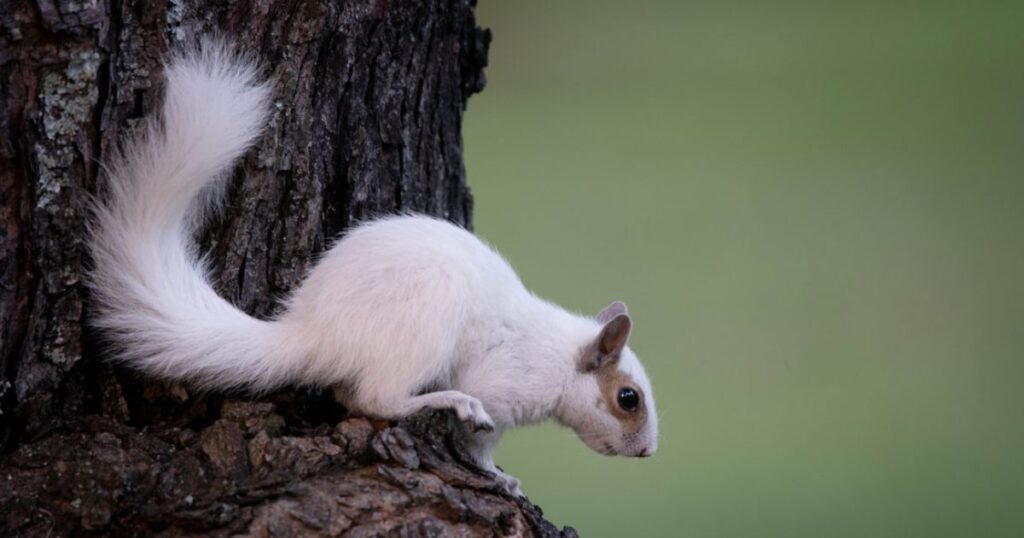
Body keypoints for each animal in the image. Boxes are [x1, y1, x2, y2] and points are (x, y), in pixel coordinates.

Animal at [89, 41, 658, 496]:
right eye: (627, 398)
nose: (648, 452)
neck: (557, 359)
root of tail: (316, 334)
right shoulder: (503, 385)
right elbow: (477, 444)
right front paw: (497, 476)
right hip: (422, 325)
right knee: (374, 398)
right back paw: (447, 399)